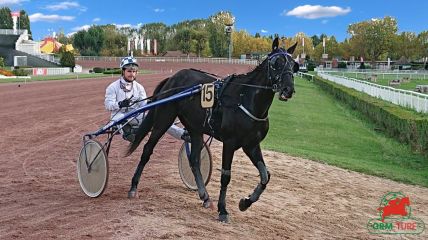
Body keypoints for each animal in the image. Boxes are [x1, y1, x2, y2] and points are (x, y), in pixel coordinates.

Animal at [127, 37, 298, 223]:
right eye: (276, 63)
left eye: (293, 65)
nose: (288, 89)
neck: (245, 99)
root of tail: (172, 78)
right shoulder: (229, 143)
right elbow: (226, 176)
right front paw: (223, 210)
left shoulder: (251, 145)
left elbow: (265, 175)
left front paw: (245, 202)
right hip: (164, 119)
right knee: (147, 149)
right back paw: (133, 187)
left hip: (195, 128)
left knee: (194, 160)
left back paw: (205, 196)